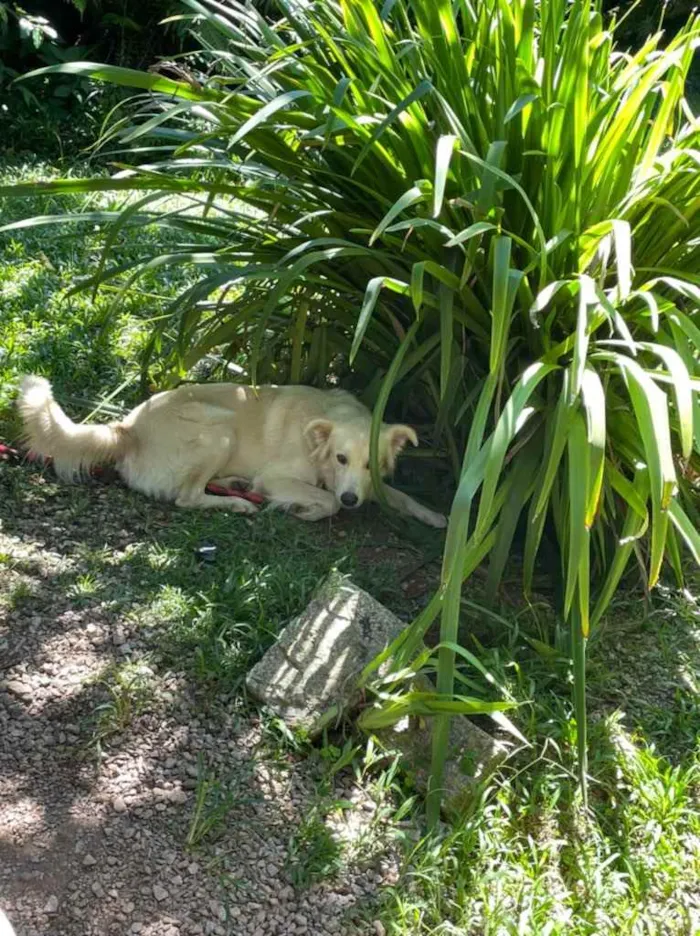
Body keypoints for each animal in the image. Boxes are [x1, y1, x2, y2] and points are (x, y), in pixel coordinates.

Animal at [17, 378, 448, 528]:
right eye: (340, 458)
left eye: (370, 464)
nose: (352, 500)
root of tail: (127, 427)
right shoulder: (278, 477)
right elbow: (326, 501)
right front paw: (305, 509)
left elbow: (400, 496)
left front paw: (436, 516)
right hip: (219, 429)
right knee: (187, 498)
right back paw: (239, 503)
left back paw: (236, 486)